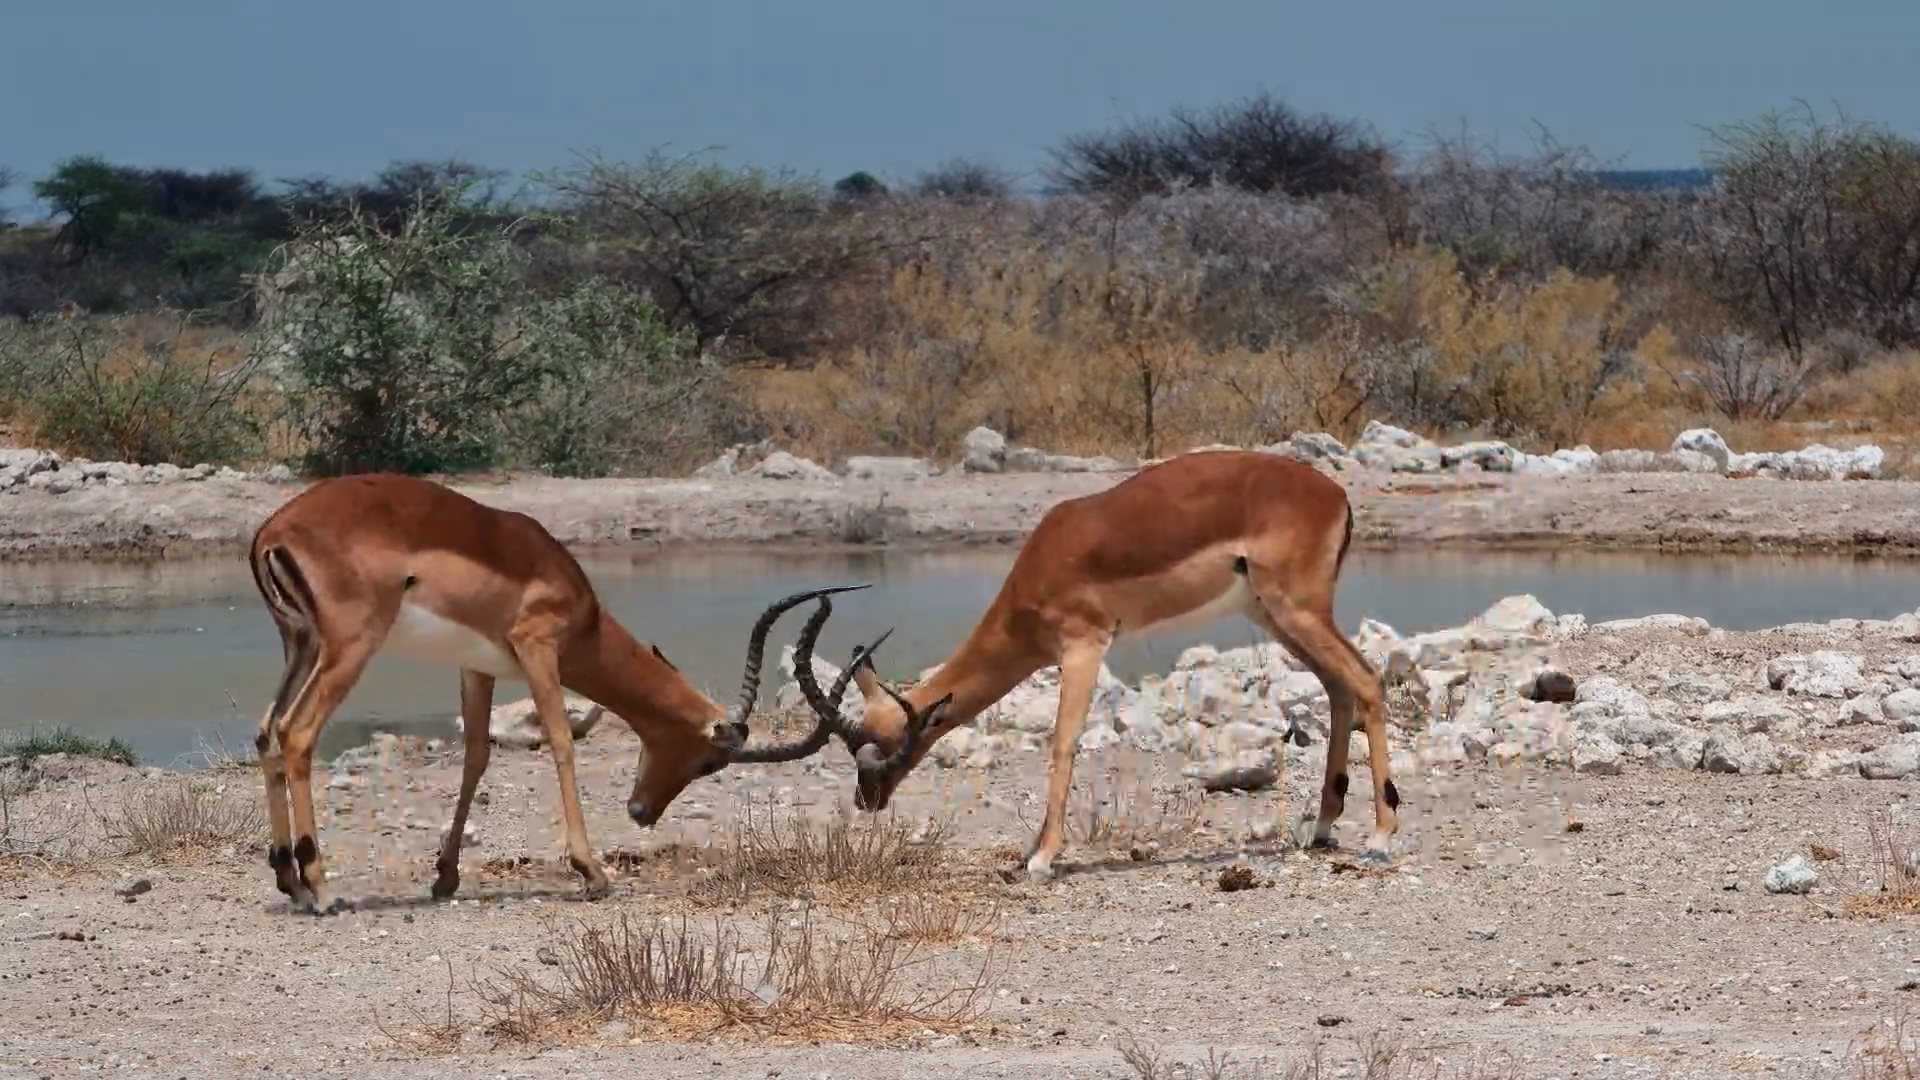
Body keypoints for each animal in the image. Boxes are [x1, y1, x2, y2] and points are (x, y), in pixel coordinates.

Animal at [248, 472, 878, 914]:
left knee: (265, 734)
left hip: (299, 646)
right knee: (296, 733)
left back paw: (289, 882)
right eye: (708, 762)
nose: (641, 811)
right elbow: (560, 742)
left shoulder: (476, 666)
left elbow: (475, 756)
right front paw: (592, 872)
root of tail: (273, 531)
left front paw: (445, 877)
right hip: (349, 647)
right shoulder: (537, 649)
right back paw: (322, 889)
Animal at [787, 449, 1397, 882]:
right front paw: (1032, 851)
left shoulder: (1084, 646)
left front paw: (1041, 859)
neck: (1041, 568)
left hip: (1297, 609)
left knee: (1367, 680)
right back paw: (1322, 828)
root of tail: (1335, 494)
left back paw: (1381, 836)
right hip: (1273, 613)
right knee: (1340, 688)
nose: (866, 800)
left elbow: (1063, 741)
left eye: (883, 749)